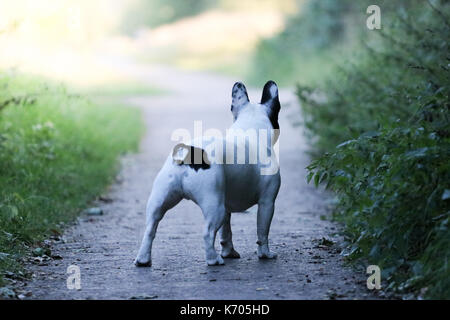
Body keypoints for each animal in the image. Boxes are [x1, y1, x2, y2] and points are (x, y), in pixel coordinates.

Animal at [134, 81, 282, 266]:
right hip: (214, 205)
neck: (250, 130)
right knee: (207, 232)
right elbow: (262, 232)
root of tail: (190, 151)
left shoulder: (227, 205)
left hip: (161, 198)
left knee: (150, 228)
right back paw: (213, 259)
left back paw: (143, 259)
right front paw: (265, 254)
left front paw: (229, 252)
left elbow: (226, 232)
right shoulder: (267, 202)